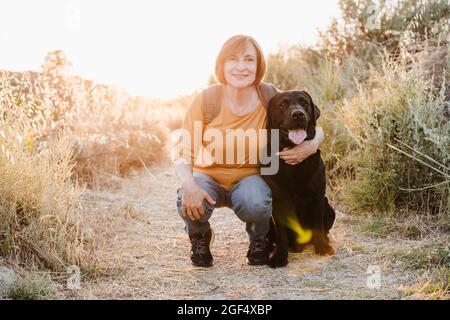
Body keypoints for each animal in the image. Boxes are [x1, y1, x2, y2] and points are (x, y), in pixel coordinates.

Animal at [264, 89, 334, 268]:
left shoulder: (317, 196)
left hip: (329, 207)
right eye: (283, 104)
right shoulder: (278, 200)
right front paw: (280, 256)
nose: (298, 114)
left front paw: (322, 246)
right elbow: (281, 233)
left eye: (304, 102)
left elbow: (317, 224)